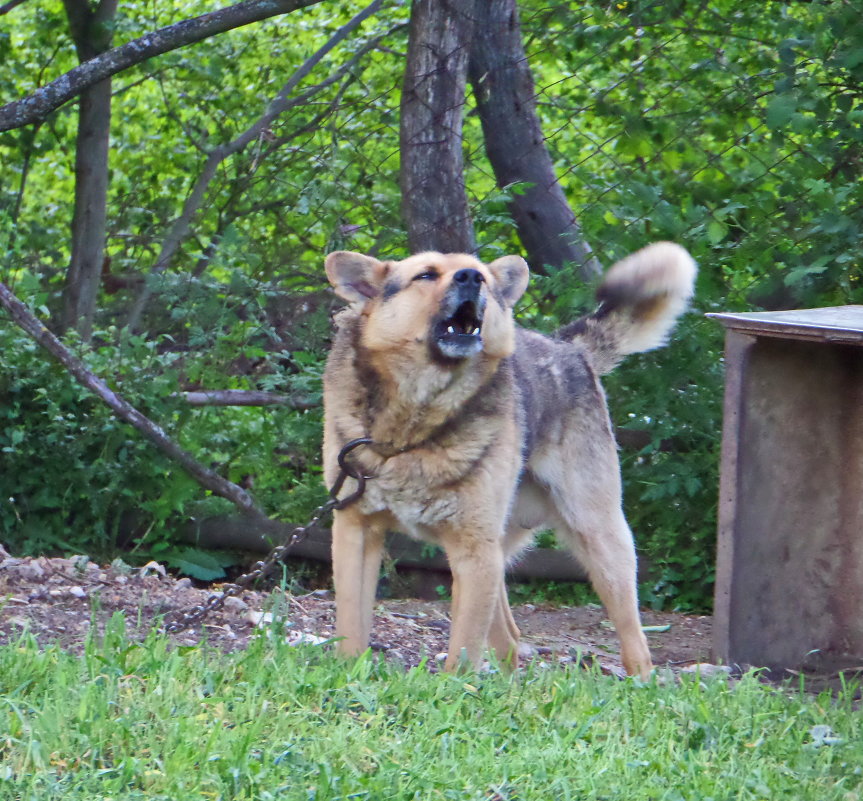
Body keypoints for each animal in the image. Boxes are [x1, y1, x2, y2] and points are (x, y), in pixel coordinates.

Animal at [322, 244, 696, 676]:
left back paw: (639, 677)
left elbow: (463, 650)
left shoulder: (473, 548)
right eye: (426, 275)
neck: (417, 426)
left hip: (599, 537)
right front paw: (348, 674)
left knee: (633, 635)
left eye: (482, 276)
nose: (470, 278)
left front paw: (454, 688)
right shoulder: (356, 531)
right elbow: (352, 627)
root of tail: (568, 347)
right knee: (510, 639)